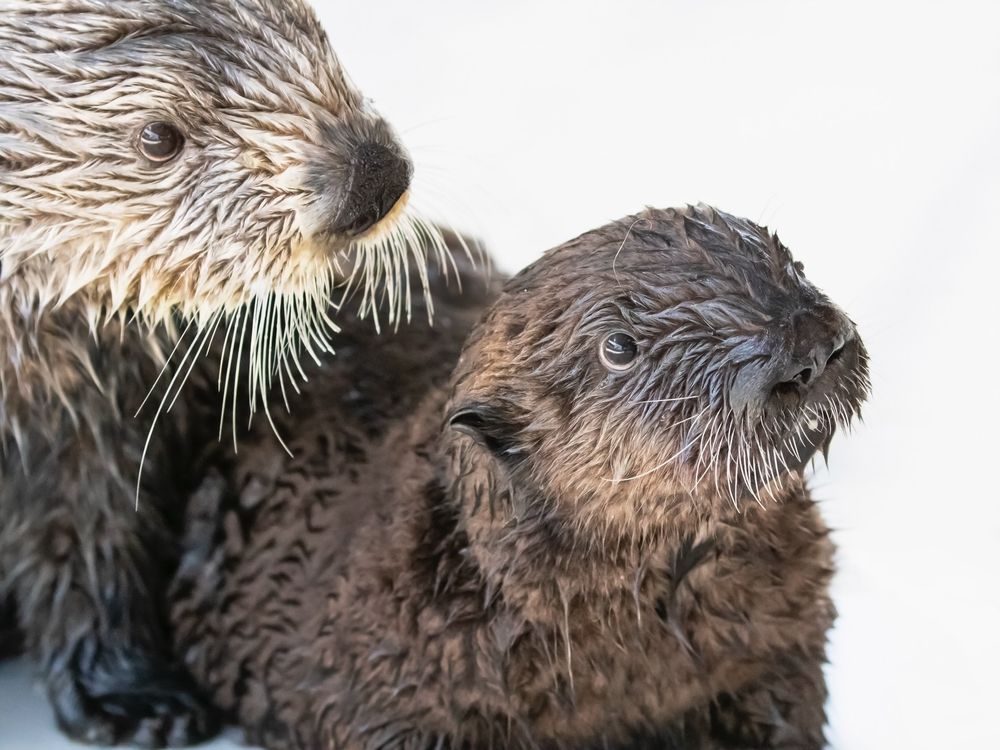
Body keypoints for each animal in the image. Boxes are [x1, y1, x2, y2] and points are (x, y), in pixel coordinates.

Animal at [0, 1, 446, 746]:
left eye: (313, 29)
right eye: (158, 137)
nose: (371, 178)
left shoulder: (91, 418)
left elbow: (92, 543)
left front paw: (139, 700)